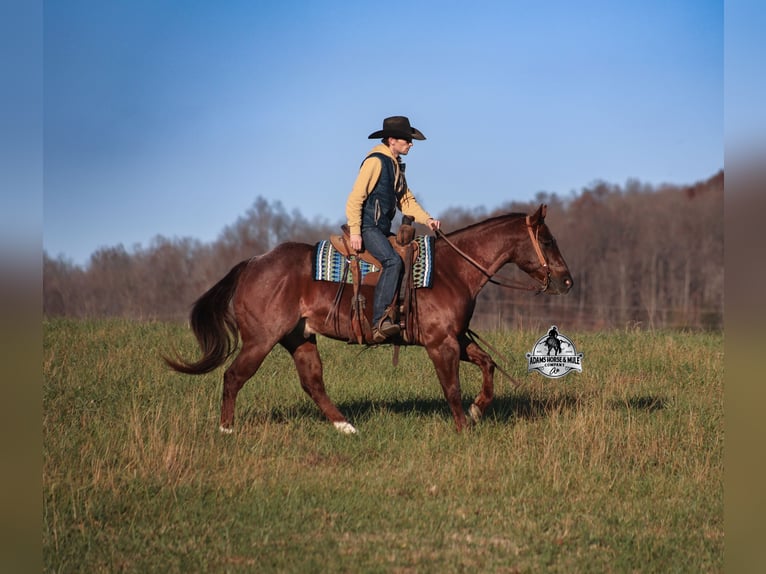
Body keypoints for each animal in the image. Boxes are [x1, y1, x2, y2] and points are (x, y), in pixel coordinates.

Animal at [165, 204, 573, 433]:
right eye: (547, 240)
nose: (567, 281)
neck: (452, 271)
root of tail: (252, 263)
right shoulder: (440, 344)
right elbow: (452, 387)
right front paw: (463, 428)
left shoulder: (456, 338)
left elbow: (487, 364)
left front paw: (476, 411)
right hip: (261, 339)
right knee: (234, 376)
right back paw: (226, 430)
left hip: (300, 337)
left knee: (312, 382)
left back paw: (346, 426)